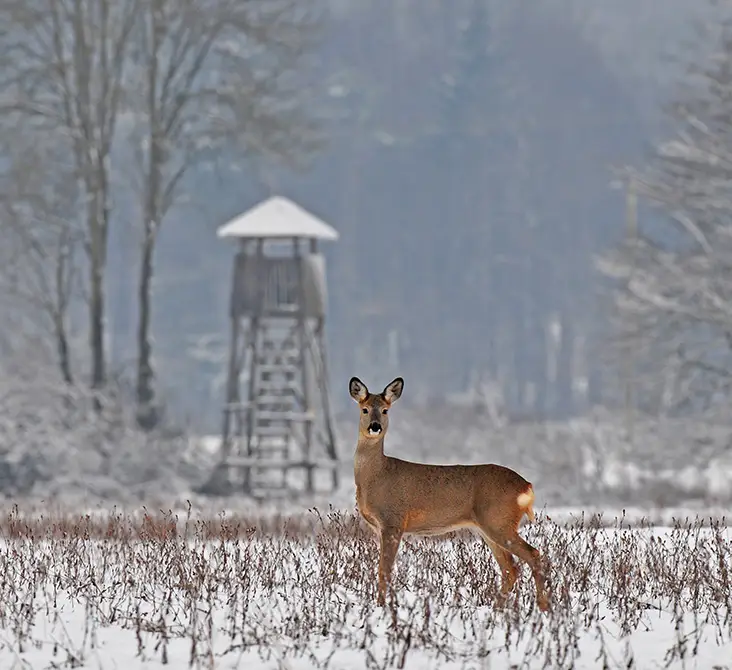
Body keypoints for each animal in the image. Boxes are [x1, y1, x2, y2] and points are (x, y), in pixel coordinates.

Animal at [348, 378, 548, 616]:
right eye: (365, 409)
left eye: (385, 410)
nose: (375, 426)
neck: (375, 477)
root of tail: (527, 486)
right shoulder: (380, 528)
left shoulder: (393, 522)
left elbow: (384, 570)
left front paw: (382, 608)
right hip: (490, 527)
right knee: (510, 568)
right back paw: (496, 609)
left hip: (499, 522)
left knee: (533, 554)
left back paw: (544, 608)